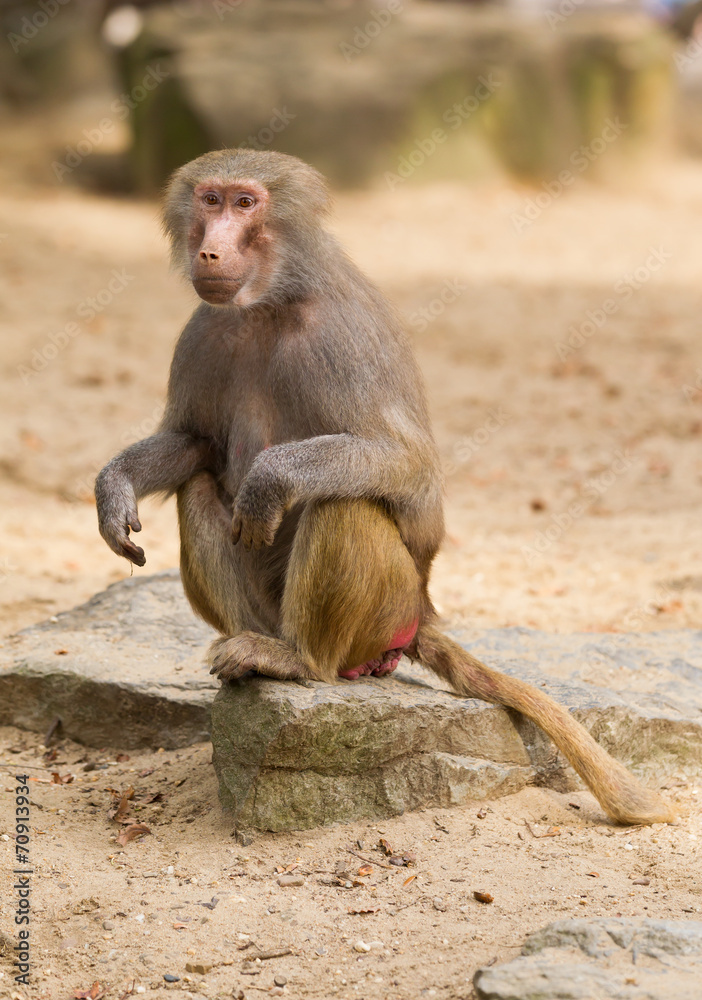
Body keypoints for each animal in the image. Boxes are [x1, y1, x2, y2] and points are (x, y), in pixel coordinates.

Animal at [95, 148, 674, 827]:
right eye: (209, 200)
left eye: (245, 203)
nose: (210, 251)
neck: (270, 304)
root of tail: (421, 609)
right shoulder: (203, 331)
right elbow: (194, 444)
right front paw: (115, 488)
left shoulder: (344, 338)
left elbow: (410, 470)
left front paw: (272, 478)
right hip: (276, 606)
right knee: (199, 487)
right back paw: (250, 653)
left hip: (385, 610)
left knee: (343, 500)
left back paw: (298, 660)